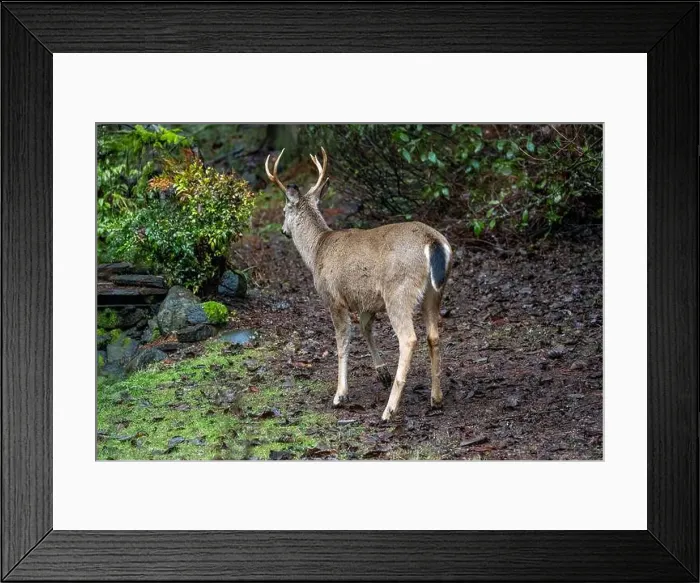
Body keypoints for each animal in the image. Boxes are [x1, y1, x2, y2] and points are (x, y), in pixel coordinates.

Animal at [265, 148, 453, 421]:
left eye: (283, 211)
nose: (283, 231)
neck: (317, 250)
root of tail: (433, 241)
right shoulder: (366, 301)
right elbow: (365, 328)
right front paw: (381, 371)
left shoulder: (334, 297)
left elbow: (343, 341)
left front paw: (340, 394)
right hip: (435, 291)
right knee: (433, 336)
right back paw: (436, 398)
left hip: (398, 291)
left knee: (408, 339)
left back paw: (389, 410)